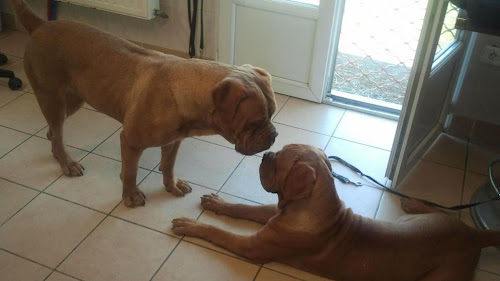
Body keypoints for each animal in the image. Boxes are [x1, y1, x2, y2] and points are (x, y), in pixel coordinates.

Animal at [8, 0, 278, 206]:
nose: (274, 135)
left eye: (273, 113)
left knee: (53, 133)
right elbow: (130, 172)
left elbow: (168, 165)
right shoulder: (130, 141)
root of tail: (42, 25)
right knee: (57, 132)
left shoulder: (173, 142)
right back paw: (67, 162)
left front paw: (171, 185)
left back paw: (58, 153)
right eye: (255, 123)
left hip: (72, 101)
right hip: (53, 98)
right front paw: (130, 195)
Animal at [172, 144, 500, 280]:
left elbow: (219, 232)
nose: (265, 155)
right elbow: (243, 208)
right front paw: (218, 204)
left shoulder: (252, 246)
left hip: (442, 276)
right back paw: (413, 203)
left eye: (279, 161)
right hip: (420, 221)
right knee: (439, 212)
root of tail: (475, 236)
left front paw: (191, 225)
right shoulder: (272, 214)